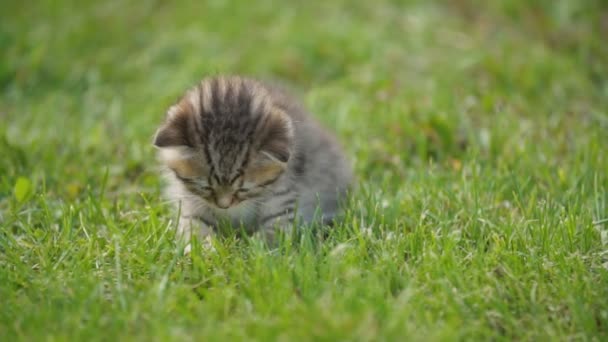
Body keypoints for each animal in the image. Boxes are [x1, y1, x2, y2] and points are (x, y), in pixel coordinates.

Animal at [153, 76, 352, 244]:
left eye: (243, 189)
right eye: (205, 187)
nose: (224, 205)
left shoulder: (286, 196)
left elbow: (274, 230)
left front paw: (255, 250)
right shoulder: (189, 202)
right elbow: (195, 228)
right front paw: (205, 250)